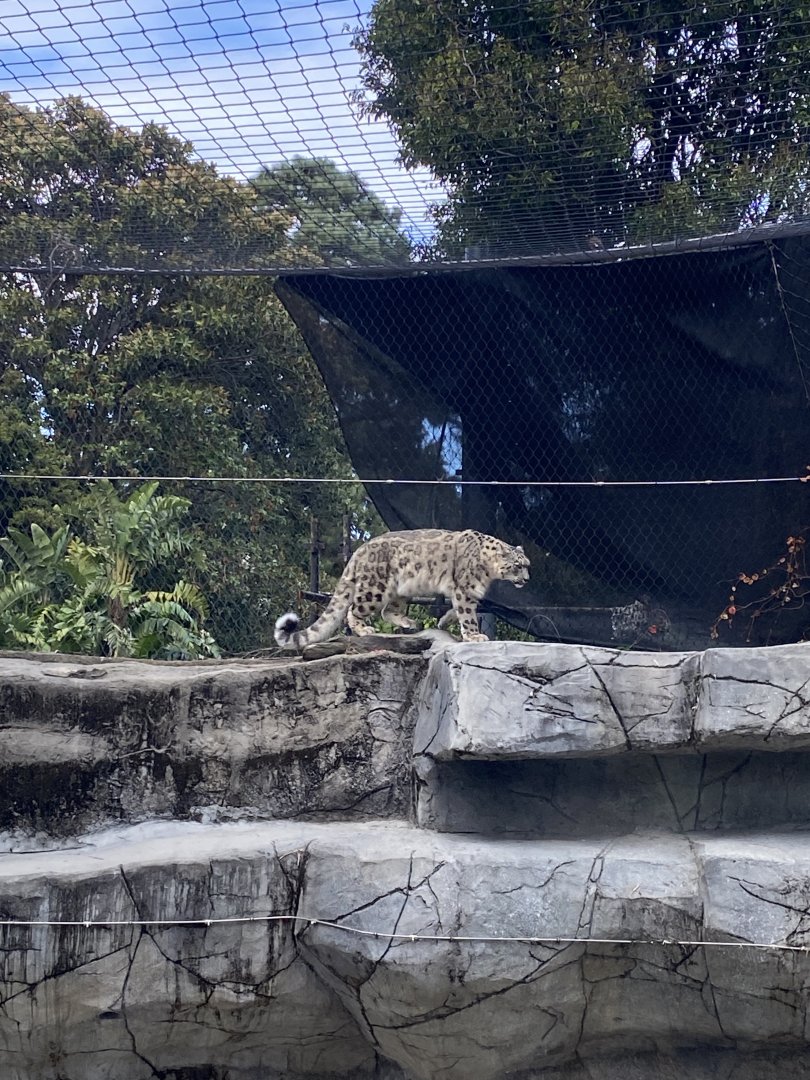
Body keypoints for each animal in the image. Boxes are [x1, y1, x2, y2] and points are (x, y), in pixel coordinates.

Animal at [274, 528, 530, 650]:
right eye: (518, 565)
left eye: (527, 565)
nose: (527, 579)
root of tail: (359, 551)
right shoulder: (465, 590)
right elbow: (467, 615)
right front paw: (474, 635)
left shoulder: (466, 593)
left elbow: (459, 610)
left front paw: (443, 622)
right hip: (374, 587)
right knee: (354, 610)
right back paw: (364, 629)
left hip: (401, 590)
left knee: (388, 610)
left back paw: (409, 623)